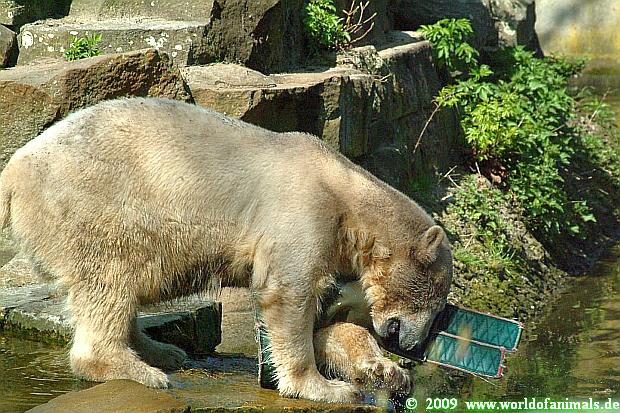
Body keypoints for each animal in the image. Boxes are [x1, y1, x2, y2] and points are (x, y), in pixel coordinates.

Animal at [0, 98, 452, 403]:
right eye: (434, 298)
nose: (413, 345)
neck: (345, 192)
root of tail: (14, 172)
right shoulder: (302, 212)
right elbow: (288, 295)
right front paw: (325, 388)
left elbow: (329, 321)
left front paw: (389, 371)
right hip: (95, 207)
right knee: (110, 279)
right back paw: (137, 369)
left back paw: (162, 350)